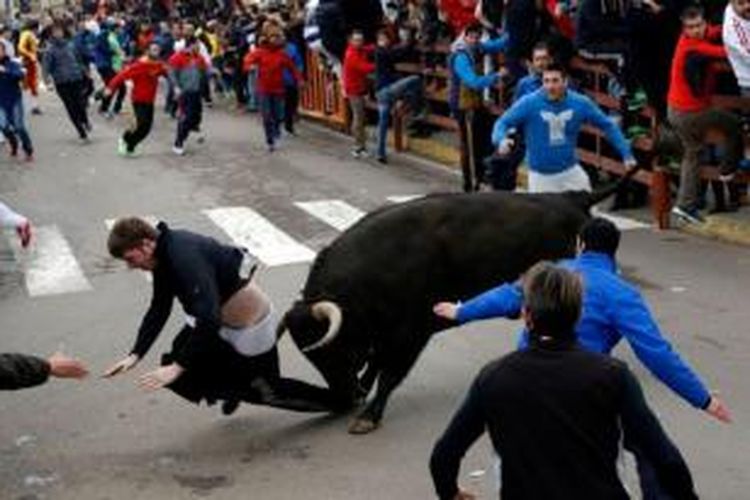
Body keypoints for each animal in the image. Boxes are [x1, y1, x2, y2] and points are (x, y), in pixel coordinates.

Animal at [276, 175, 640, 430]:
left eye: (333, 350)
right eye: (313, 357)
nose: (343, 398)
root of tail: (572, 197)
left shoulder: (411, 332)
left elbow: (389, 372)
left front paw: (369, 414)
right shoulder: (386, 333)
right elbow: (376, 364)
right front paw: (363, 392)